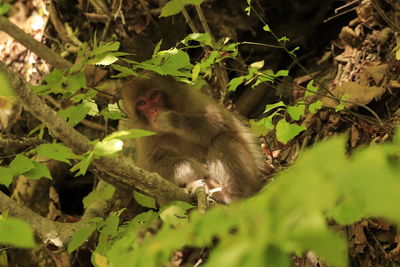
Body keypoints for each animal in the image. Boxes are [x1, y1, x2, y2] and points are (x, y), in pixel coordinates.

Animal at [122, 72, 266, 204]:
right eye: (141, 103)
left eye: (153, 95)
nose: (153, 110)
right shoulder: (142, 132)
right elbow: (150, 168)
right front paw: (193, 167)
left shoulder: (192, 97)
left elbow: (221, 124)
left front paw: (173, 120)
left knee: (221, 139)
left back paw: (234, 195)